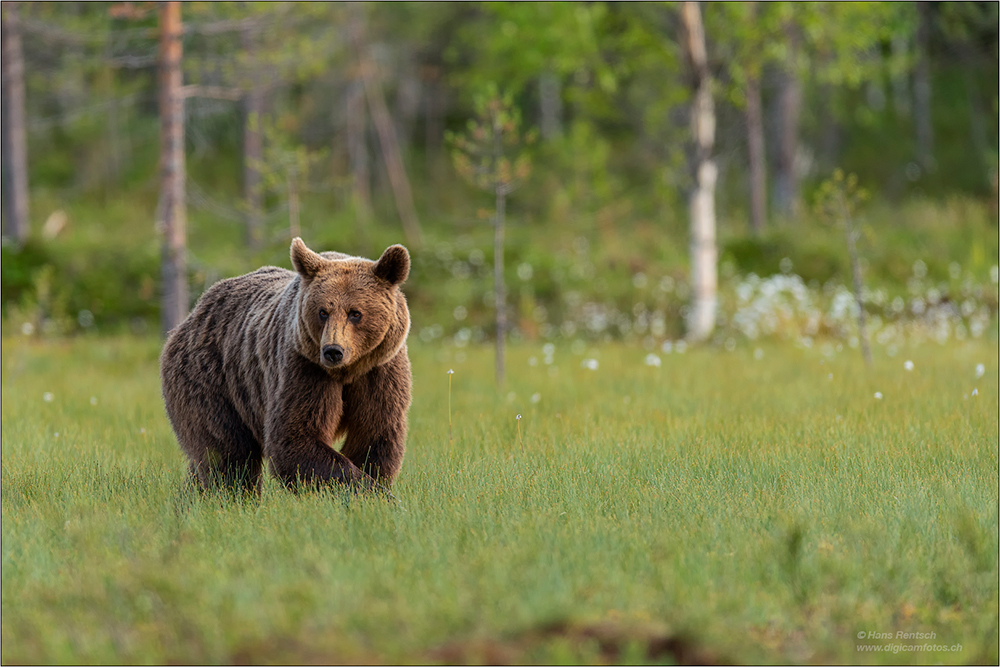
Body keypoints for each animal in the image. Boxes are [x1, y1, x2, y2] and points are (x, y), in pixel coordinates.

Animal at [160, 237, 410, 494]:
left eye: (355, 313)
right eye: (323, 311)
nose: (333, 351)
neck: (348, 371)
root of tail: (192, 315)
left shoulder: (380, 370)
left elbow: (374, 434)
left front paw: (375, 483)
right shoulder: (303, 367)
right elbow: (295, 437)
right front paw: (370, 489)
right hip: (213, 379)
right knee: (227, 453)